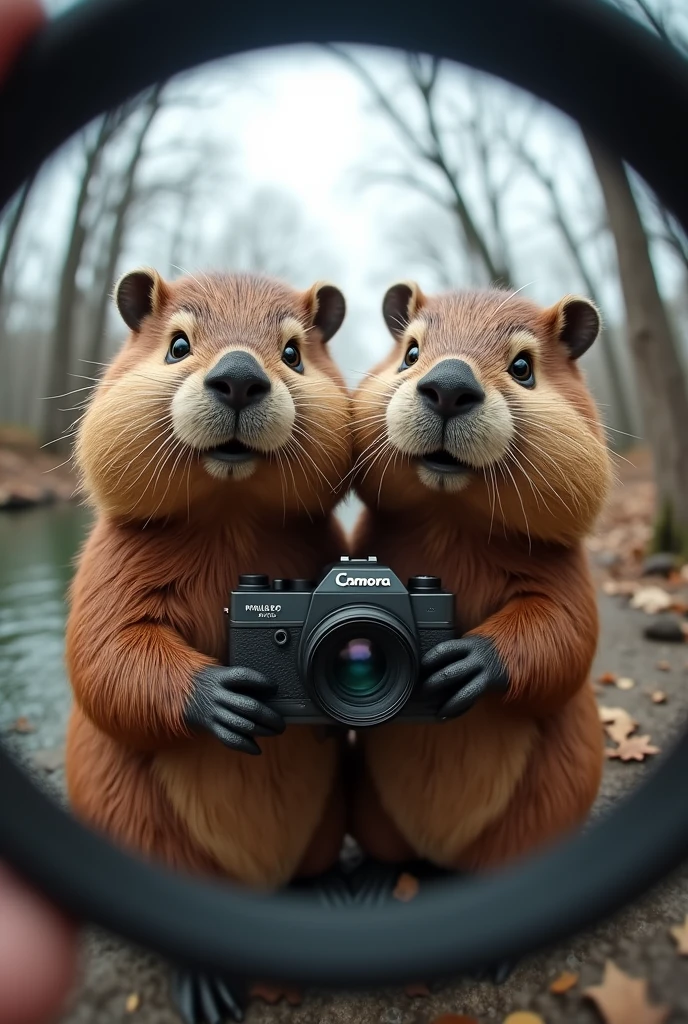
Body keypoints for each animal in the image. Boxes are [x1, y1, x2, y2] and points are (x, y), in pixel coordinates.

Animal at [63, 268, 352, 1019]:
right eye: (177, 344)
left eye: (294, 353)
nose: (240, 378)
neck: (230, 514)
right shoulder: (111, 566)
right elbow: (104, 654)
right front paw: (223, 699)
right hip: (142, 833)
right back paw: (204, 982)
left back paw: (329, 894)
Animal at [346, 280, 610, 966]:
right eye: (410, 352)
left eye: (523, 367)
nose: (448, 385)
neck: (452, 516)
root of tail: (443, 855)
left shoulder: (564, 573)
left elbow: (566, 635)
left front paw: (469, 662)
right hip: (373, 813)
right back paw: (374, 882)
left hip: (541, 814)